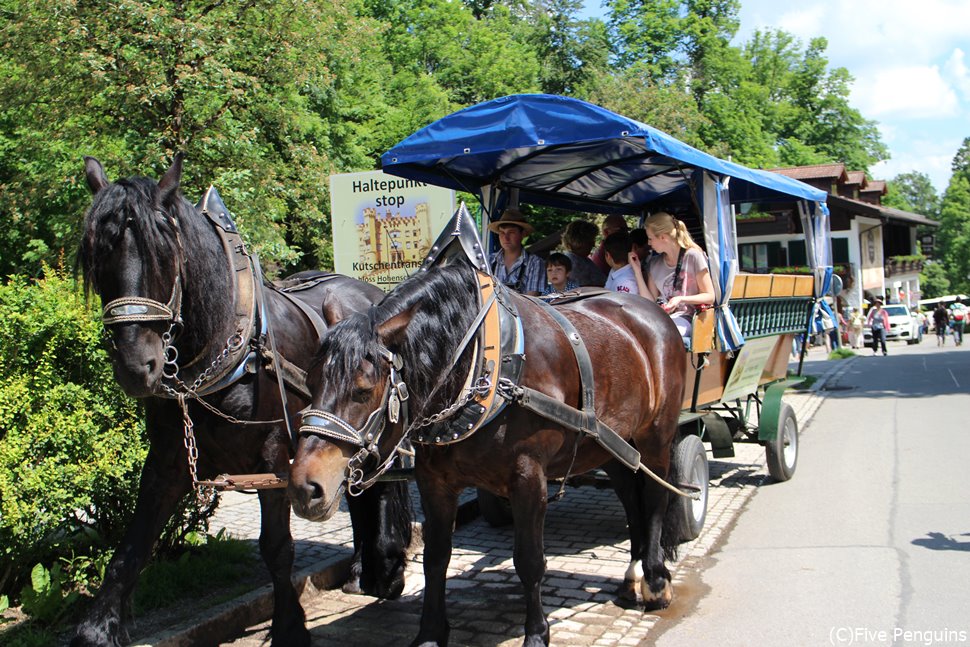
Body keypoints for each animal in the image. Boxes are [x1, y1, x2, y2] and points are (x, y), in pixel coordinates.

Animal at [73, 154, 412, 644]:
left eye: (164, 254)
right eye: (97, 255)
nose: (138, 365)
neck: (222, 343)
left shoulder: (273, 455)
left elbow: (276, 549)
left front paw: (289, 624)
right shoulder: (168, 460)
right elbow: (132, 547)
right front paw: (97, 629)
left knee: (380, 486)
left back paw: (386, 568)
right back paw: (360, 570)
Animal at [288, 224, 688, 647]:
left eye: (363, 390)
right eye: (310, 382)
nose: (304, 486)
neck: (478, 363)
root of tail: (652, 311)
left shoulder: (528, 478)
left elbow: (529, 561)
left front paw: (536, 634)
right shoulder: (434, 481)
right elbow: (436, 558)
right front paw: (430, 632)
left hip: (656, 437)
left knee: (656, 497)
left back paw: (656, 581)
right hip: (609, 444)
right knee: (630, 495)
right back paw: (633, 575)